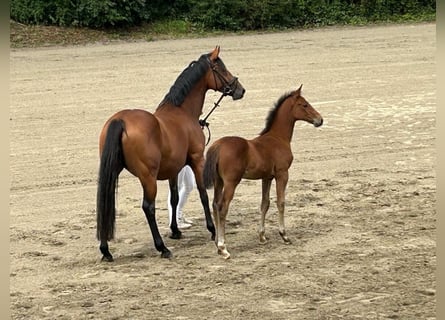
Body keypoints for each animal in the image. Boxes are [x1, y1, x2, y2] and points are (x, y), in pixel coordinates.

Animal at [95, 48, 245, 262]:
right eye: (221, 68)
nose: (240, 90)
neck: (182, 111)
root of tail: (120, 120)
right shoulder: (197, 160)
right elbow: (202, 194)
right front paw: (212, 230)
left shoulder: (174, 169)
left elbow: (174, 197)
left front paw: (175, 230)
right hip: (148, 177)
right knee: (148, 207)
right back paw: (162, 248)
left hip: (112, 172)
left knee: (106, 204)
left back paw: (106, 250)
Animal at [203, 84, 320, 258]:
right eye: (304, 105)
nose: (320, 120)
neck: (277, 138)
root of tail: (217, 146)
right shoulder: (282, 174)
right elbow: (281, 202)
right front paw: (284, 235)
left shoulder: (267, 177)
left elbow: (265, 203)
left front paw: (262, 236)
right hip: (231, 182)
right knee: (223, 207)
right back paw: (223, 248)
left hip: (219, 182)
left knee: (215, 205)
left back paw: (218, 243)